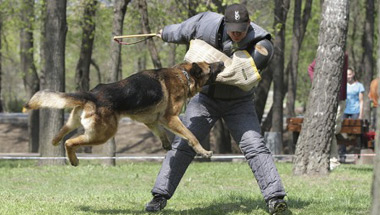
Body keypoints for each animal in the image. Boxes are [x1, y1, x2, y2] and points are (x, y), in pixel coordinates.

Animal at [23, 61, 224, 165]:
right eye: (210, 66)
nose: (221, 62)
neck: (185, 75)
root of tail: (91, 95)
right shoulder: (170, 118)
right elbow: (191, 135)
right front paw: (204, 152)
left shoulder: (152, 120)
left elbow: (161, 132)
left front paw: (166, 144)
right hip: (103, 134)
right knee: (70, 142)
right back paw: (73, 159)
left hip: (74, 123)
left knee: (60, 135)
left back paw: (56, 142)